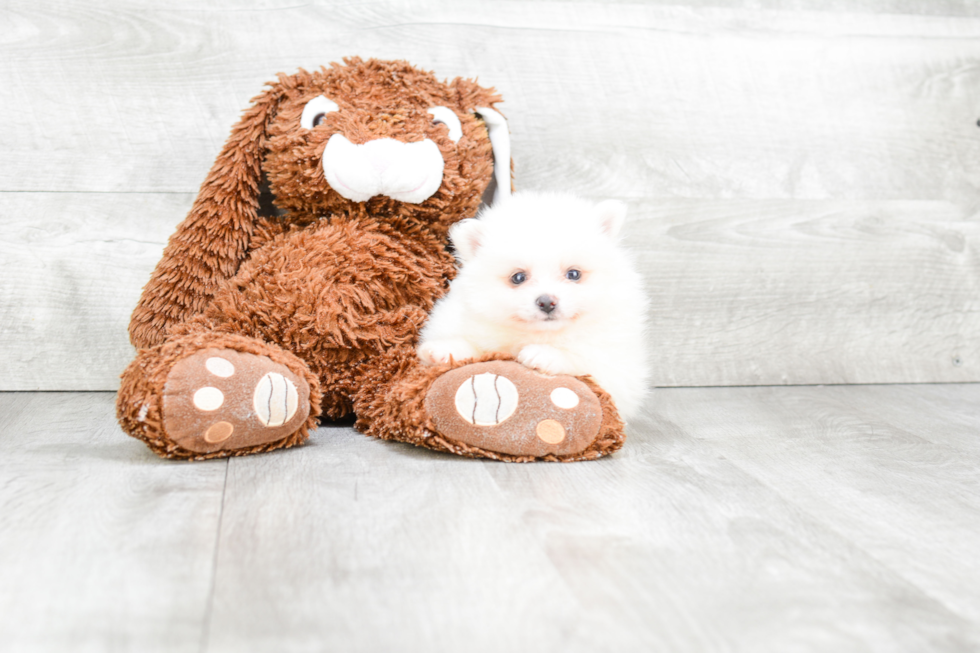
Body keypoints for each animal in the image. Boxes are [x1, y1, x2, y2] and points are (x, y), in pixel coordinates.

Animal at [416, 191, 652, 420]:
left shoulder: (621, 372)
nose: (547, 302)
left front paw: (544, 354)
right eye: (518, 277)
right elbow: (476, 348)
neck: (541, 335)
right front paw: (444, 350)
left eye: (573, 274)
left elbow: (586, 362)